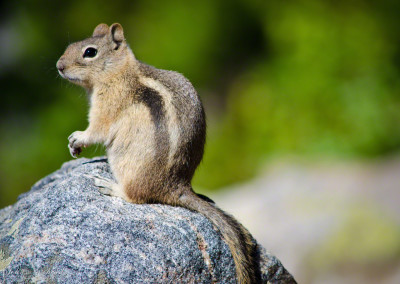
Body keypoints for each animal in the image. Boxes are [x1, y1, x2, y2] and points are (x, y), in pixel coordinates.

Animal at [57, 22, 260, 284]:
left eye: (89, 52)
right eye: (71, 45)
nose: (59, 66)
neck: (118, 72)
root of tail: (177, 186)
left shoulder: (106, 106)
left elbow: (97, 130)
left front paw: (77, 138)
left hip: (124, 162)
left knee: (137, 197)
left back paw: (110, 186)